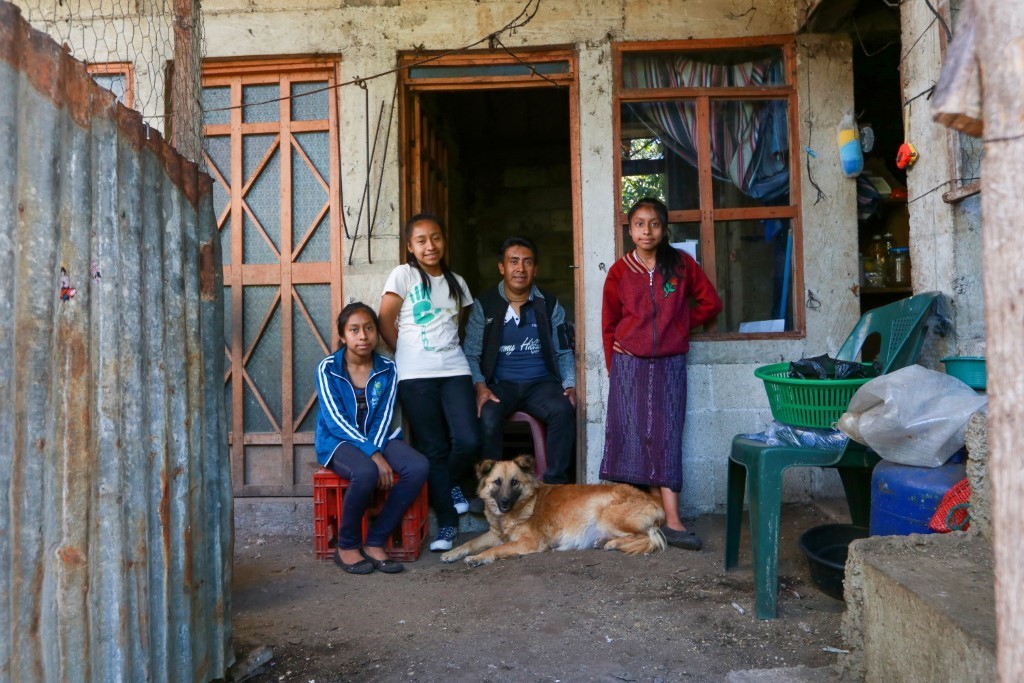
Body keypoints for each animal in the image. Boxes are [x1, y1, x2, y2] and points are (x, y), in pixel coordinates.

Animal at [438, 454, 663, 565]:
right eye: (497, 482)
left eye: (514, 482)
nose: (504, 503)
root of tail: (655, 502)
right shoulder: (496, 534)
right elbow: (470, 542)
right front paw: (453, 553)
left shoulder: (529, 541)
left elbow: (496, 549)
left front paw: (478, 558)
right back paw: (604, 541)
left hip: (607, 514)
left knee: (645, 537)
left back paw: (612, 543)